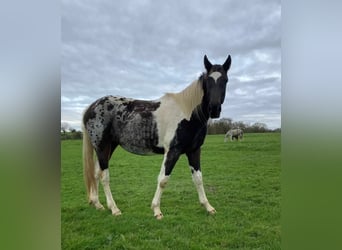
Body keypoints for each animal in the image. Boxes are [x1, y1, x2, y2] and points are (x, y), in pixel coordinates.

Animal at [83, 54, 232, 219]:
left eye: (225, 80)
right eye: (208, 81)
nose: (214, 109)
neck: (187, 114)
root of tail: (92, 107)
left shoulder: (194, 150)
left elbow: (198, 179)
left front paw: (208, 207)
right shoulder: (173, 151)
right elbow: (163, 180)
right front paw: (156, 210)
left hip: (110, 147)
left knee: (96, 173)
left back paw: (98, 204)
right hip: (102, 147)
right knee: (104, 176)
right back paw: (114, 209)